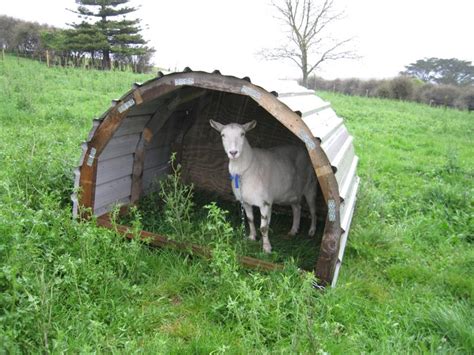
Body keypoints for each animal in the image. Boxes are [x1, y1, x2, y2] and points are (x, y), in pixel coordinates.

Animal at [209, 119, 316, 253]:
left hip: (310, 185)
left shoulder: (265, 202)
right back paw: (293, 231)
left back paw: (311, 231)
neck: (246, 169)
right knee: (297, 208)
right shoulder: (246, 202)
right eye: (222, 135)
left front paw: (266, 248)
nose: (233, 152)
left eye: (242, 134)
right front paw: (252, 237)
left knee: (312, 209)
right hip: (292, 192)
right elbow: (250, 220)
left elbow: (264, 227)